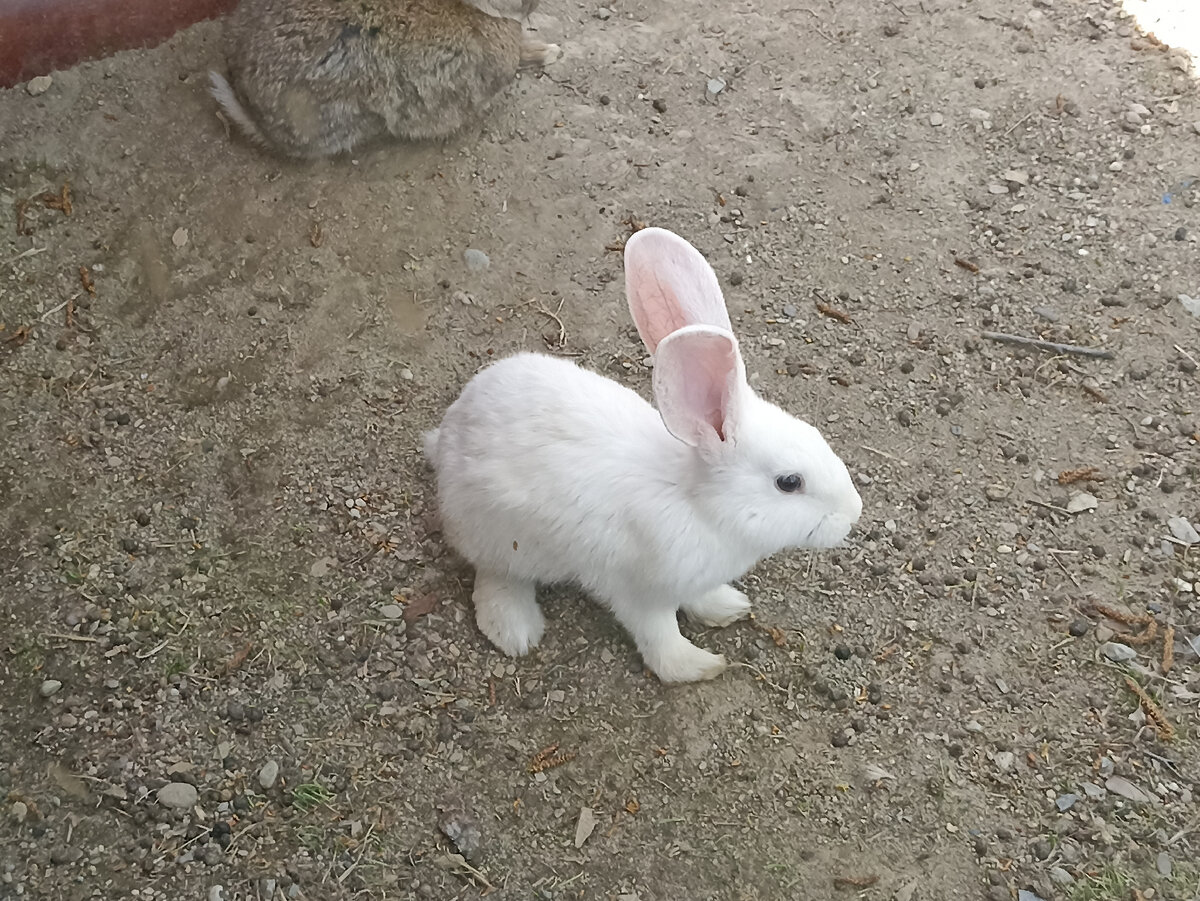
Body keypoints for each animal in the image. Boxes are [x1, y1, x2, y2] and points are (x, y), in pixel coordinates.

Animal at [424, 226, 864, 681]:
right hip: (500, 537)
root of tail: (449, 433)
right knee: (496, 576)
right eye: (789, 482)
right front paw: (697, 665)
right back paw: (514, 630)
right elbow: (660, 636)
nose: (854, 513)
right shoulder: (639, 593)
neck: (699, 505)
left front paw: (726, 607)